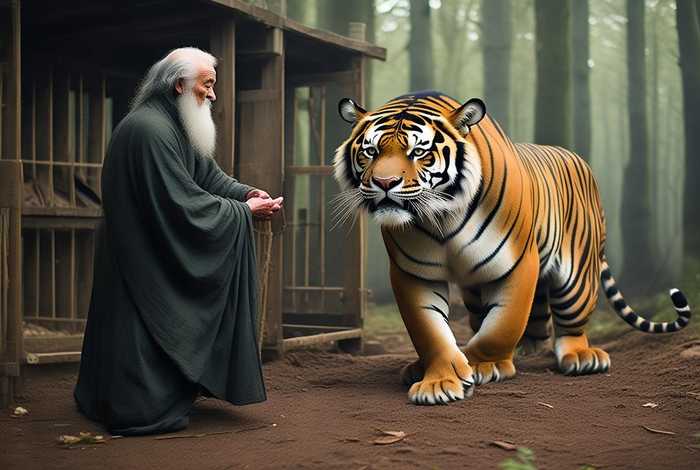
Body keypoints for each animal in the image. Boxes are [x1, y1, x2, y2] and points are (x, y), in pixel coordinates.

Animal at [332, 91, 692, 405]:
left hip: (576, 274)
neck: (442, 217)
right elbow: (430, 330)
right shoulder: (413, 272)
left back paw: (580, 355)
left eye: (419, 152)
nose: (384, 183)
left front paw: (481, 364)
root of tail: (580, 159)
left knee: (569, 320)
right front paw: (440, 379)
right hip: (477, 288)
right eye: (370, 152)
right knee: (525, 320)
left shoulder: (518, 262)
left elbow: (503, 325)